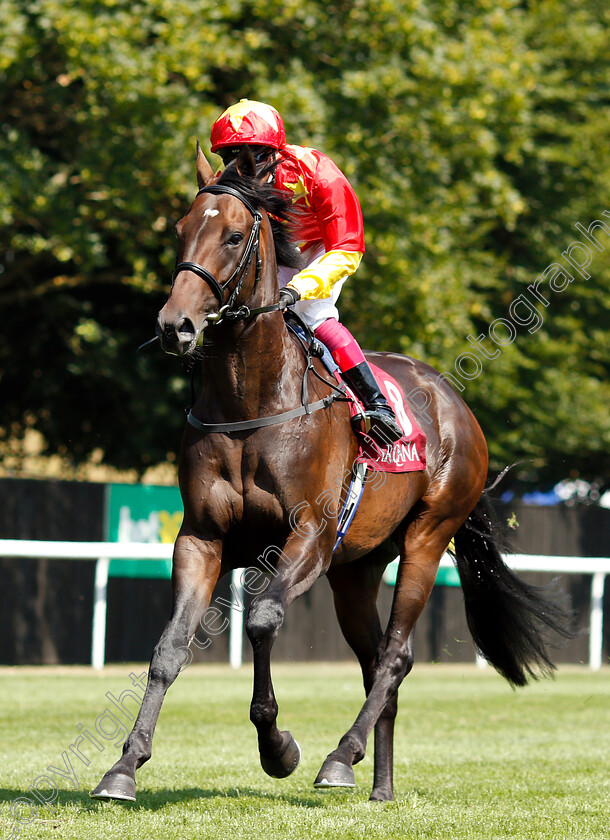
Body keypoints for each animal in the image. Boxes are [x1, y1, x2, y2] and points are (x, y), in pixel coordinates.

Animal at [91, 148, 568, 804]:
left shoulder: (310, 536)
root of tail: (455, 404)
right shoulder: (202, 538)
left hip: (426, 537)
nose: (175, 325)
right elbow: (169, 647)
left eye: (234, 235)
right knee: (375, 665)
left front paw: (278, 748)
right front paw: (124, 766)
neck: (250, 401)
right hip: (356, 570)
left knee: (394, 657)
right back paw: (379, 787)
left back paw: (341, 757)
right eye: (180, 230)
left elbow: (263, 620)